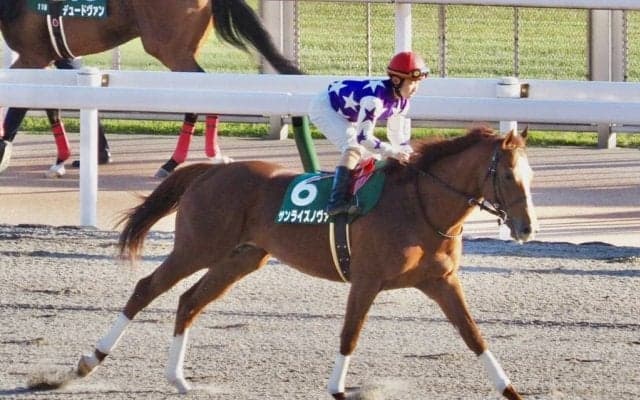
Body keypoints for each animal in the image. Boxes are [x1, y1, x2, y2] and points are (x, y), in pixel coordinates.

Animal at [0, 0, 302, 177]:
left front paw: (2, 151)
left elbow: (18, 104)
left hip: (169, 49)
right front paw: (62, 159)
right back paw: (211, 153)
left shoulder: (32, 56)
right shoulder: (46, 56)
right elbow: (51, 104)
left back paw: (172, 163)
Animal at [74, 127, 536, 399]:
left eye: (530, 176)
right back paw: (88, 361)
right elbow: (349, 335)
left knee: (189, 300)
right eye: (508, 176)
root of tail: (209, 171)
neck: (420, 206)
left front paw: (510, 390)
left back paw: (178, 379)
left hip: (240, 258)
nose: (526, 227)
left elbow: (474, 336)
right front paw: (337, 389)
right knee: (146, 289)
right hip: (197, 246)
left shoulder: (442, 281)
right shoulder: (366, 280)